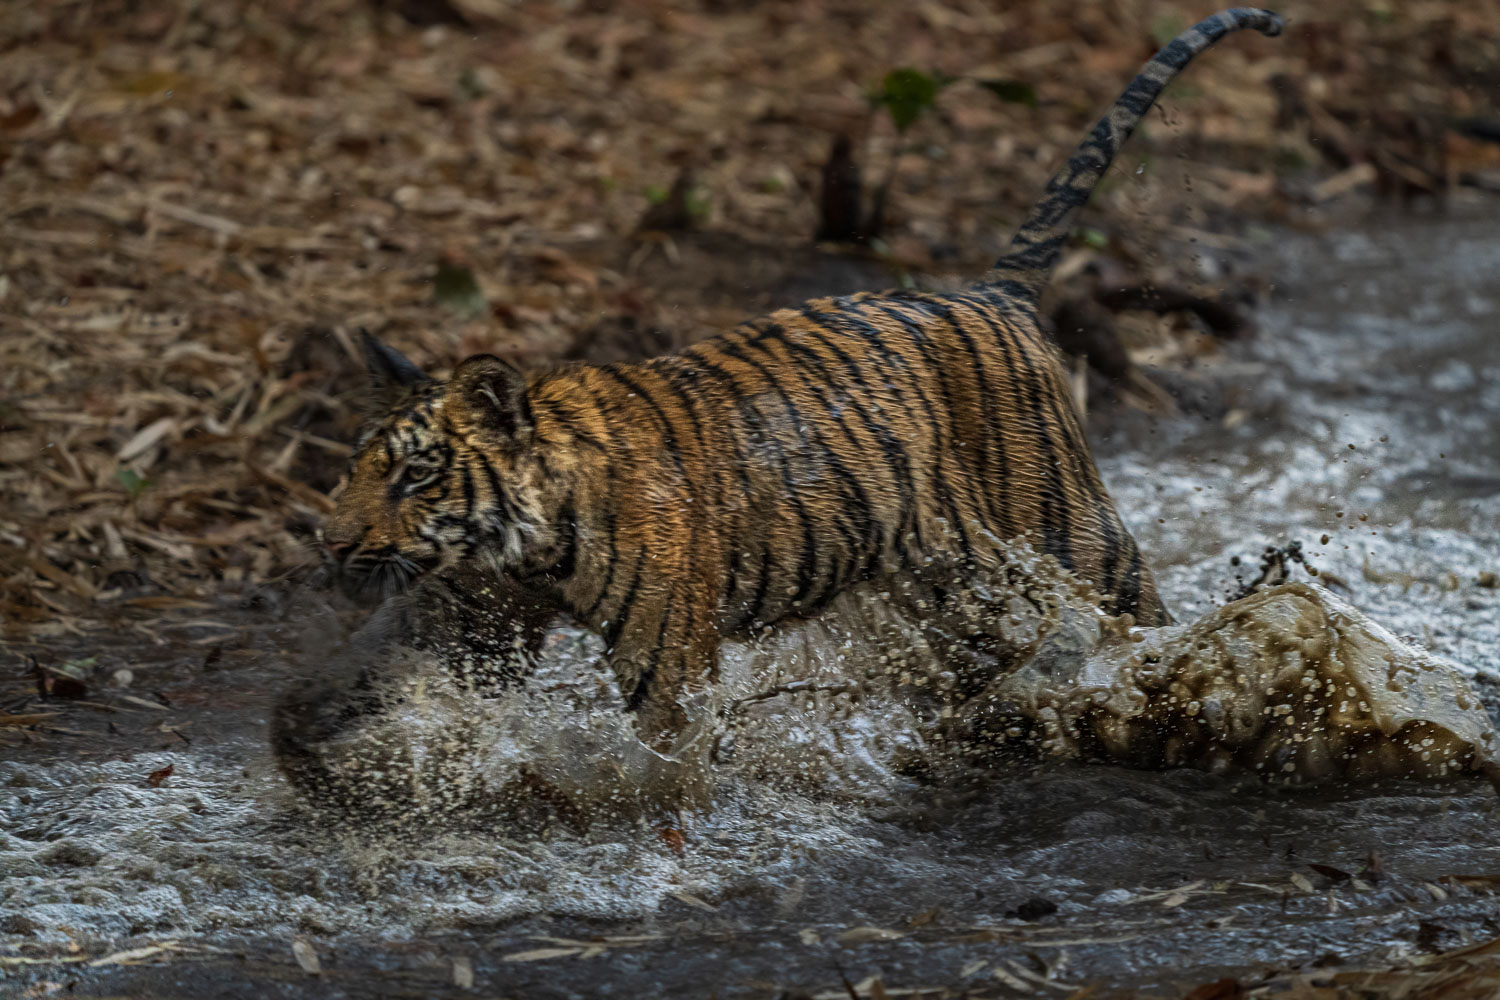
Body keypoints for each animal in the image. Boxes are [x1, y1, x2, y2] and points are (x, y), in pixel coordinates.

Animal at [320, 9, 1286, 755]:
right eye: (354, 468)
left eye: (417, 476)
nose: (330, 544)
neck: (531, 539)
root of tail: (991, 291)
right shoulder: (488, 616)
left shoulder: (669, 661)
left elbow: (662, 770)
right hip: (942, 583)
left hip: (1071, 535)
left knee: (1143, 619)